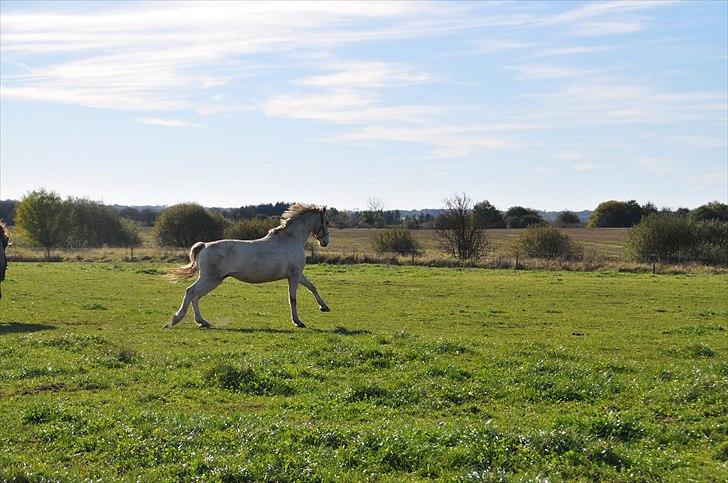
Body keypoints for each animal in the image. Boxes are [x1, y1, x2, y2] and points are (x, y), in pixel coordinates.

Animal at [165, 204, 330, 328]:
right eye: (327, 222)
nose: (325, 242)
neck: (290, 239)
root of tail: (204, 245)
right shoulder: (294, 275)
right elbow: (293, 298)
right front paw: (298, 322)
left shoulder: (297, 274)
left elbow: (312, 287)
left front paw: (324, 307)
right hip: (210, 279)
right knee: (191, 292)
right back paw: (177, 319)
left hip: (212, 280)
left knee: (195, 296)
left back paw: (201, 322)